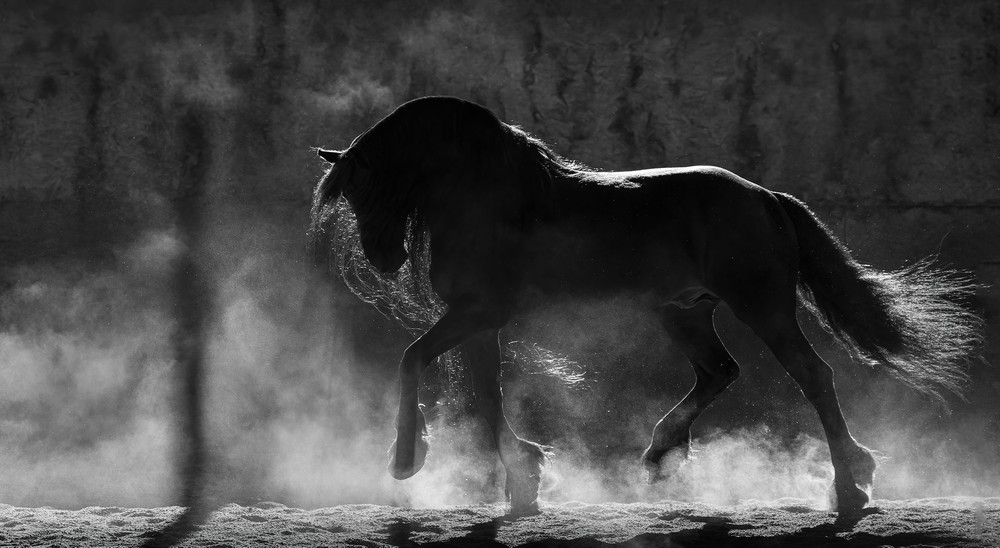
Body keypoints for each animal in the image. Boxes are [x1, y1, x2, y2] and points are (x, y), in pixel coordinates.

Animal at [309, 96, 981, 516]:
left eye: (375, 184)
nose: (383, 257)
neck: (487, 199)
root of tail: (767, 196)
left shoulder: (475, 314)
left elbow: (414, 360)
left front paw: (407, 460)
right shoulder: (480, 322)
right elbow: (487, 393)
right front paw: (525, 479)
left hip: (762, 307)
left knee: (812, 374)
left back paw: (850, 486)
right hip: (683, 312)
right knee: (720, 371)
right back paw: (661, 454)